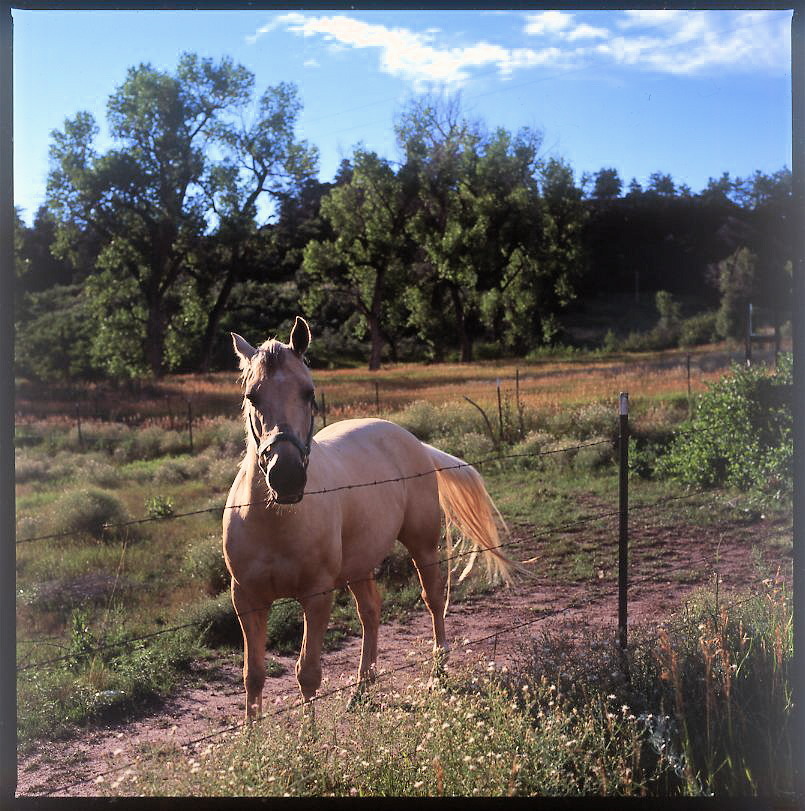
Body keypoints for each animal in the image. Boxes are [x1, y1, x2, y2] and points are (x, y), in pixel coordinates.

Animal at [223, 318, 520, 724]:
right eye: (253, 396)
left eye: (309, 393)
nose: (286, 476)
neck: (275, 521)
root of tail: (412, 441)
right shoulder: (247, 599)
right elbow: (252, 675)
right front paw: (252, 738)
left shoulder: (317, 596)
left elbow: (307, 673)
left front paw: (309, 739)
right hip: (358, 565)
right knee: (371, 612)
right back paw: (361, 691)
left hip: (422, 546)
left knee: (432, 599)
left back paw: (438, 674)